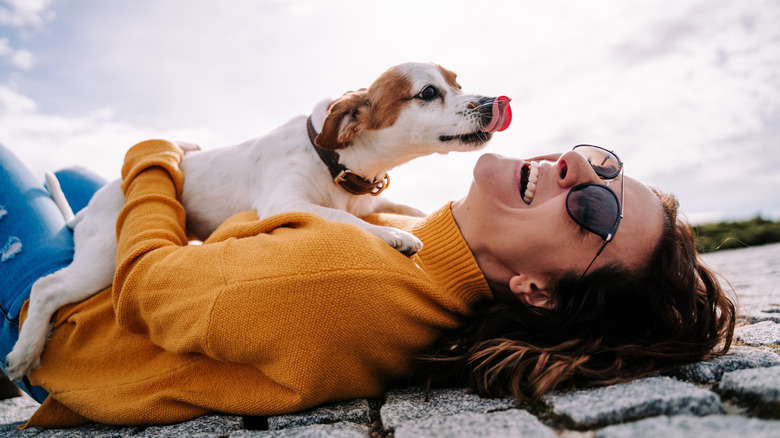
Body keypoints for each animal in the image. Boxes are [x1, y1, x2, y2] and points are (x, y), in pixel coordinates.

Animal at [4, 61, 512, 380]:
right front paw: (391, 236)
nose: (493, 102)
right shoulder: (285, 201)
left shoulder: (368, 200)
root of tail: (90, 207)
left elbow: (407, 211)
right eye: (428, 92)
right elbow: (340, 218)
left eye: (458, 83)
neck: (336, 162)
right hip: (102, 260)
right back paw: (24, 353)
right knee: (44, 288)